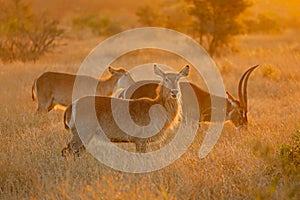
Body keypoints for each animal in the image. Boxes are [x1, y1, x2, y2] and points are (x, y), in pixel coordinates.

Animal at [61, 64, 190, 158]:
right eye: (166, 79)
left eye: (178, 79)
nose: (174, 92)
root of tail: (72, 105)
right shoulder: (141, 139)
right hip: (81, 133)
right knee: (66, 151)